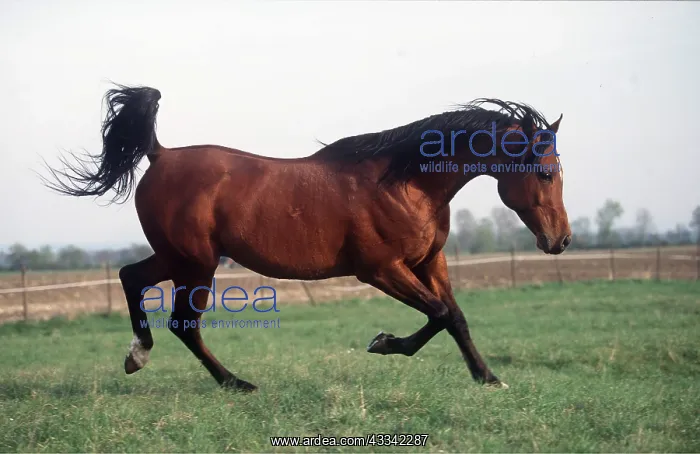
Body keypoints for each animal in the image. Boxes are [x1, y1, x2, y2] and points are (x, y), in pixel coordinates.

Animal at [43, 84, 571, 392]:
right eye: (545, 174)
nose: (562, 241)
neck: (405, 183)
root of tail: (160, 154)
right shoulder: (380, 270)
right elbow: (439, 314)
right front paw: (383, 343)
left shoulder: (430, 262)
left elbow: (456, 318)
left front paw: (488, 377)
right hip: (197, 263)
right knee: (183, 324)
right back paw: (235, 383)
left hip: (178, 257)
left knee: (131, 278)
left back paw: (139, 356)